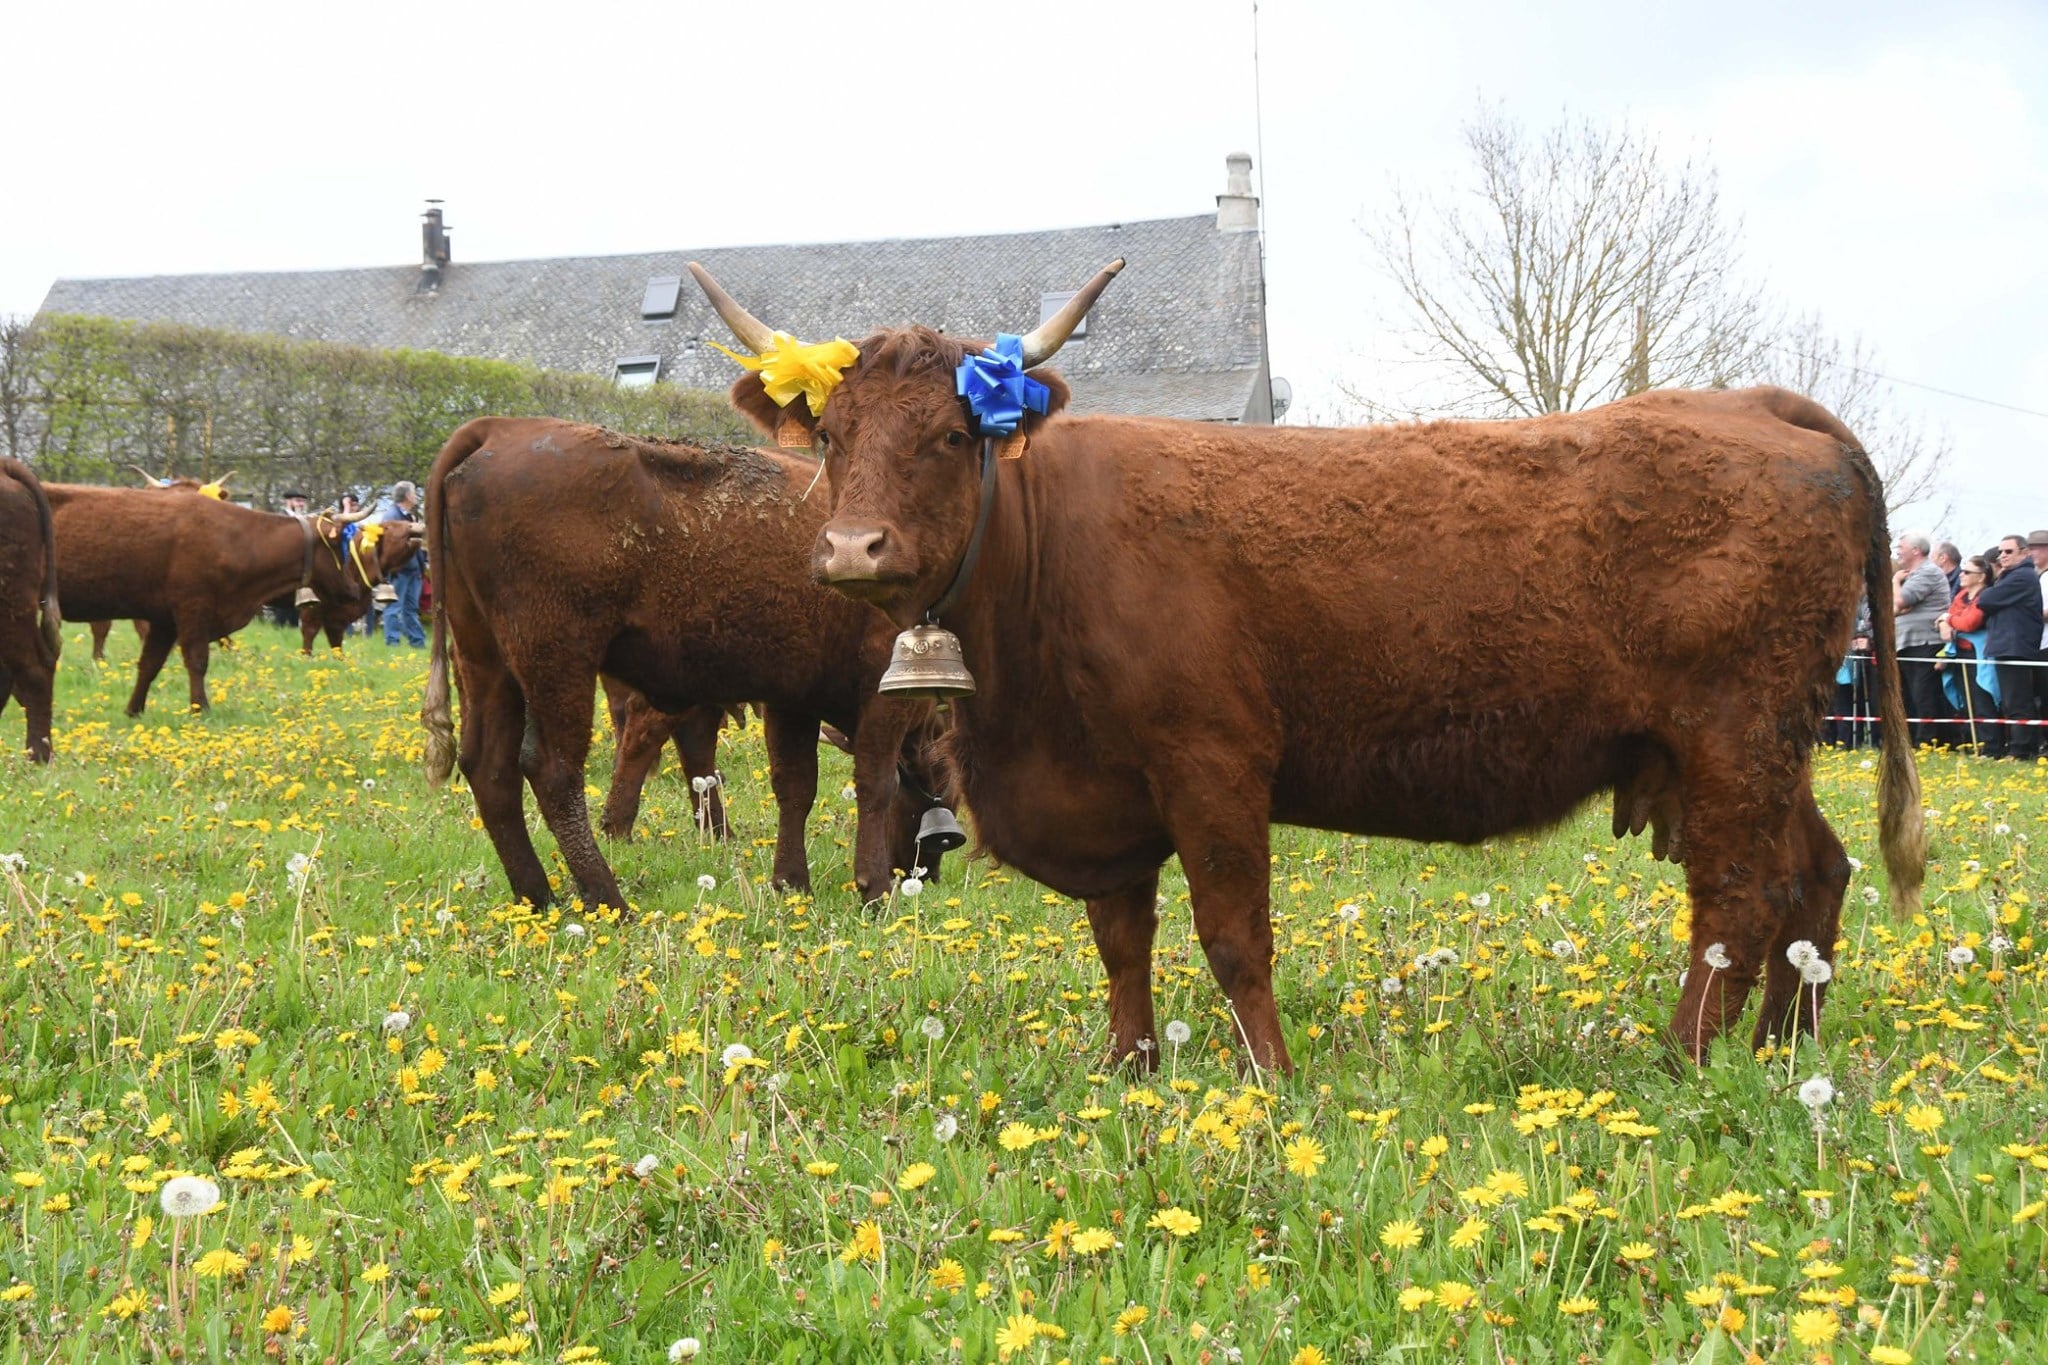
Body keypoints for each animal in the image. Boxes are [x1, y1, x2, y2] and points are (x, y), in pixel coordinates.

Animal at [47, 486, 381, 715]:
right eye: (339, 545)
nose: (354, 589)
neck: (231, 539)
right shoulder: (193, 608)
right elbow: (196, 661)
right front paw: (200, 707)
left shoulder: (164, 619)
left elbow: (149, 664)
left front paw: (134, 709)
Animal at [418, 417, 958, 911]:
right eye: (945, 789)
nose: (926, 872)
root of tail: (500, 428)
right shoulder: (879, 699)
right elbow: (875, 783)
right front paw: (875, 890)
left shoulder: (792, 698)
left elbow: (795, 787)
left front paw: (791, 884)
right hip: (558, 660)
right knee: (554, 770)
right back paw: (608, 899)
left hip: (487, 661)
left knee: (490, 768)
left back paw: (538, 897)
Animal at [688, 259, 1925, 1074]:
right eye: (833, 437)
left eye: (951, 436)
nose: (852, 550)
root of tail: (1758, 405)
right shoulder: (1107, 785)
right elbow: (1119, 937)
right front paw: (1128, 1068)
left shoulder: (1212, 761)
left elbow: (1233, 936)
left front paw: (1269, 1081)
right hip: (1767, 746)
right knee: (1813, 876)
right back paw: (1781, 1052)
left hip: (1731, 736)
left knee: (1737, 898)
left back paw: (1683, 1060)